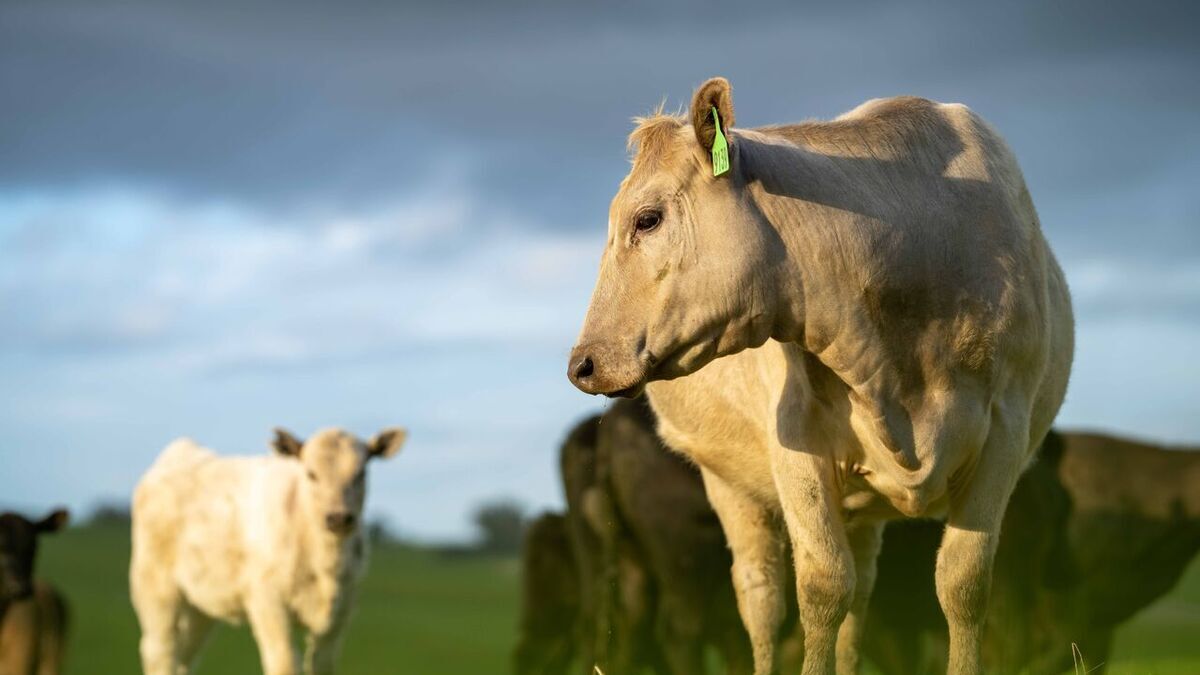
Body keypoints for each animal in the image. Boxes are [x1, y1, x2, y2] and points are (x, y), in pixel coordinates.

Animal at [130, 426, 406, 675]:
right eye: (311, 473)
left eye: (361, 473)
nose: (339, 518)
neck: (327, 564)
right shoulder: (268, 601)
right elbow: (285, 663)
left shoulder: (341, 611)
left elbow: (322, 665)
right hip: (155, 588)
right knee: (159, 651)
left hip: (201, 605)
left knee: (185, 656)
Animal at [568, 77, 1074, 675]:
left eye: (647, 219)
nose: (582, 364)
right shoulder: (795, 440)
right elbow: (821, 587)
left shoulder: (1006, 432)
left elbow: (963, 585)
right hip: (726, 494)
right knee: (762, 602)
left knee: (860, 600)